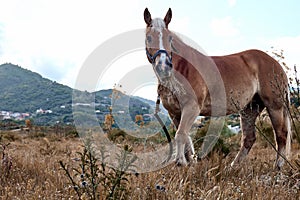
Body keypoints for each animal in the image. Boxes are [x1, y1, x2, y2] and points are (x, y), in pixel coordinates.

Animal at [143, 8, 290, 170]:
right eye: (149, 38)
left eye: (170, 38)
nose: (163, 66)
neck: (183, 69)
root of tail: (276, 64)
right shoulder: (175, 113)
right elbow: (186, 138)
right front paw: (189, 164)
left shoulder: (191, 108)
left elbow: (181, 134)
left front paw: (180, 162)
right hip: (250, 109)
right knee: (249, 138)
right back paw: (232, 167)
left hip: (275, 106)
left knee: (281, 135)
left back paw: (278, 167)